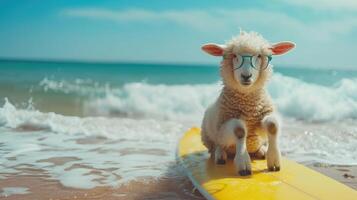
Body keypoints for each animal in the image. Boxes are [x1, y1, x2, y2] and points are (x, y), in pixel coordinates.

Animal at [200, 30, 294, 176]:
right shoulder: (224, 124)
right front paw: (243, 163)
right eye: (234, 56)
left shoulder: (262, 116)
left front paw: (273, 160)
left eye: (259, 56)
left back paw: (261, 151)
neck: (249, 108)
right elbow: (239, 130)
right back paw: (220, 155)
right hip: (210, 136)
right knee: (217, 146)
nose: (246, 76)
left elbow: (272, 126)